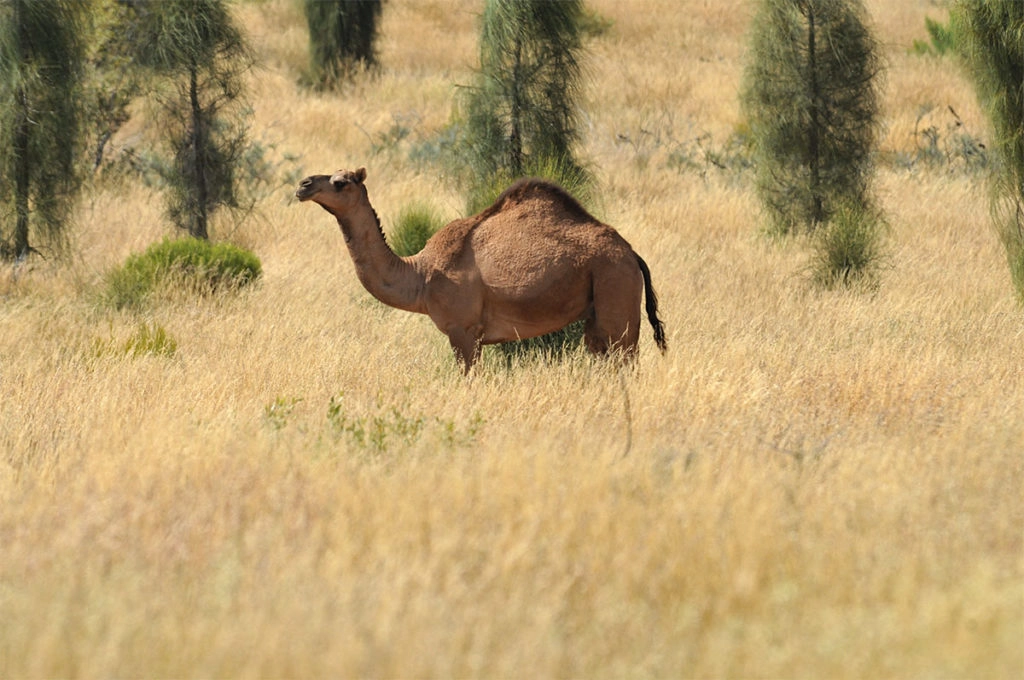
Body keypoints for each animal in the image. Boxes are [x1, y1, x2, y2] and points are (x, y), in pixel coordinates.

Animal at [295, 167, 667, 373]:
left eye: (341, 182)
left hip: (616, 289)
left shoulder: (463, 330)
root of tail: (632, 254)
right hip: (598, 313)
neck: (421, 274)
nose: (303, 184)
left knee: (627, 359)